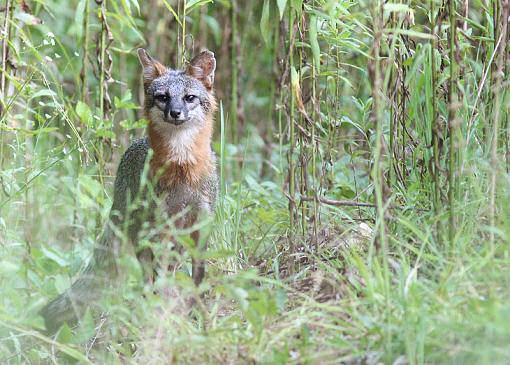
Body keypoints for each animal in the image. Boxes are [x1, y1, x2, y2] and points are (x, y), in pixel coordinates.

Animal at [37, 47, 217, 332]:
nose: (175, 112)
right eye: (162, 98)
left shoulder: (202, 223)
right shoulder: (161, 228)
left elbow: (197, 279)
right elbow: (161, 281)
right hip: (144, 237)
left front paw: (201, 319)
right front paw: (163, 320)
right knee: (150, 278)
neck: (181, 167)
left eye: (189, 98)